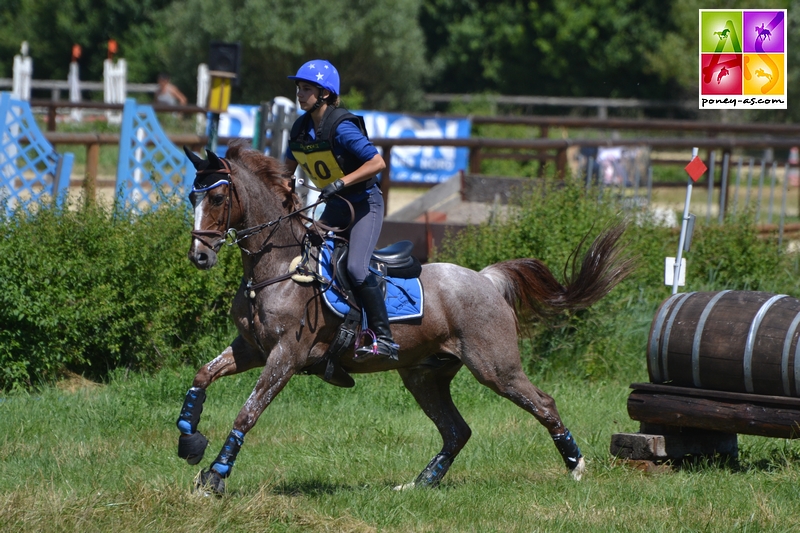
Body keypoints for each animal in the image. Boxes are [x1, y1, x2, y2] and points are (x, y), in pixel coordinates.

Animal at [178, 139, 636, 492]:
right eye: (191, 197)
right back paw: (421, 483)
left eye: (217, 197)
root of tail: (487, 280)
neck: (278, 268)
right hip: (423, 375)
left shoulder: (285, 358)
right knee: (457, 430)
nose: (199, 256)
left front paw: (215, 478)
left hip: (495, 367)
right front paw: (189, 442)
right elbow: (201, 375)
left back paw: (576, 466)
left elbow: (248, 412)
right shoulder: (252, 349)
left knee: (542, 403)